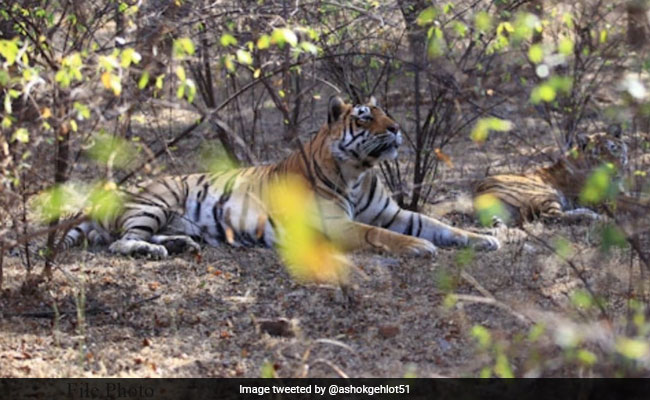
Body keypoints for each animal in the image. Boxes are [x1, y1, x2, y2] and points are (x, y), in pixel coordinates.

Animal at [61, 96, 500, 259]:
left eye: (385, 112)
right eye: (364, 117)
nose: (396, 128)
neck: (358, 172)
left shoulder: (394, 213)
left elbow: (437, 224)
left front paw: (484, 238)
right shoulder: (337, 224)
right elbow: (380, 235)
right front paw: (418, 247)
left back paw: (181, 243)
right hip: (157, 200)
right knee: (121, 241)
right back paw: (154, 250)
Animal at [473, 132, 628, 227]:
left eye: (613, 148)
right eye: (597, 155)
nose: (615, 168)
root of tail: (478, 192)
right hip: (544, 193)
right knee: (551, 216)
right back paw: (598, 217)